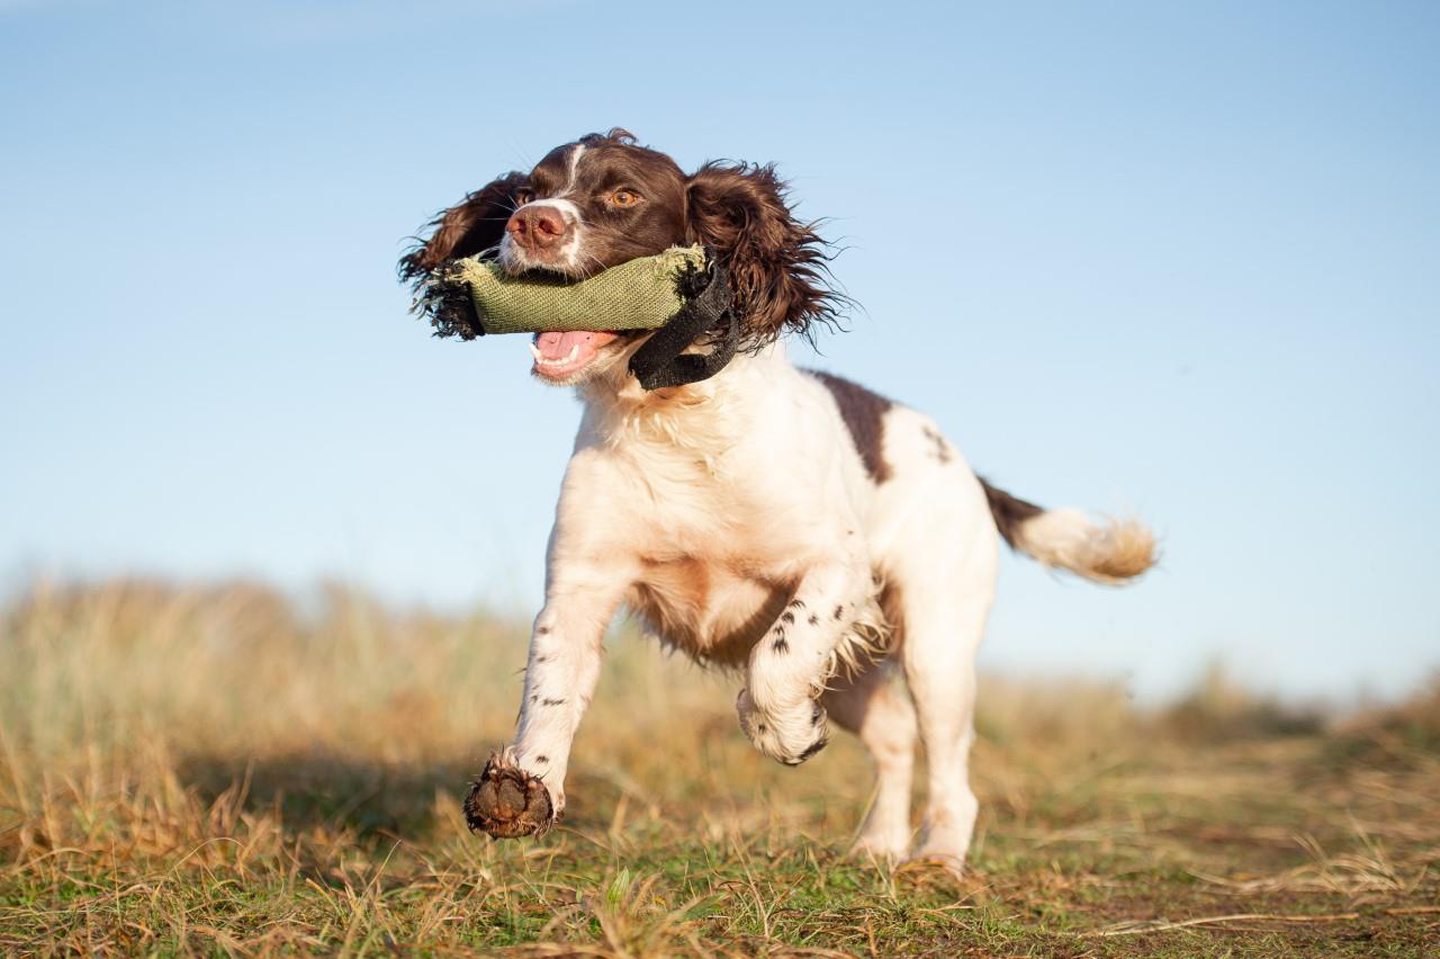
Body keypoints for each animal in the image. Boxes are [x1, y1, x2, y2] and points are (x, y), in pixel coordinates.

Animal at [397, 128, 1157, 863]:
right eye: (530, 191)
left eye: (622, 194)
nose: (531, 224)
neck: (677, 419)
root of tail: (967, 467)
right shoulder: (580, 583)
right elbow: (551, 687)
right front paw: (524, 785)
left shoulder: (835, 568)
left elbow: (776, 661)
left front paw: (783, 733)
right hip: (860, 668)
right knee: (893, 734)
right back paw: (876, 847)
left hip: (936, 643)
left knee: (949, 768)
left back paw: (938, 856)